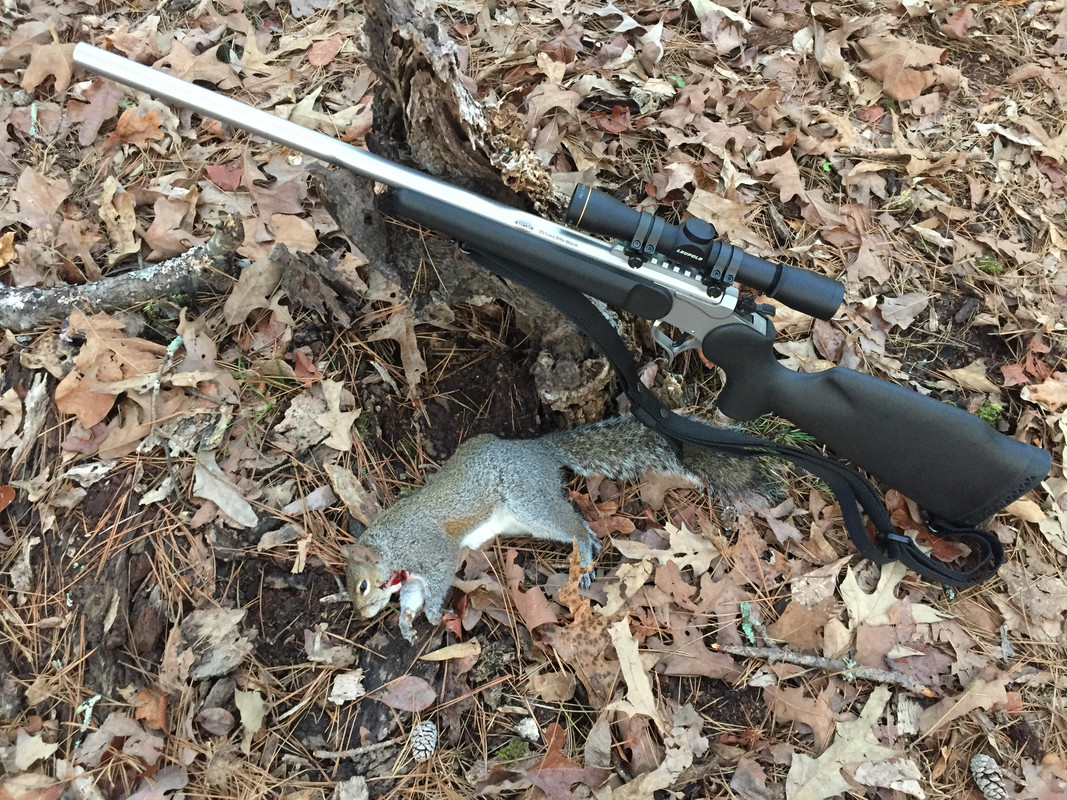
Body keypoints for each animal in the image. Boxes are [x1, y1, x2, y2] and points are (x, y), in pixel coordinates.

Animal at [345, 416, 782, 642]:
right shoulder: (411, 577)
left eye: (361, 586)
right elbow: (411, 598)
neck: (390, 546)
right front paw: (406, 623)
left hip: (529, 500)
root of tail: (541, 450)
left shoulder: (431, 550)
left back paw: (585, 557)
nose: (363, 615)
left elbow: (438, 579)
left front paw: (435, 615)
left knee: (579, 528)